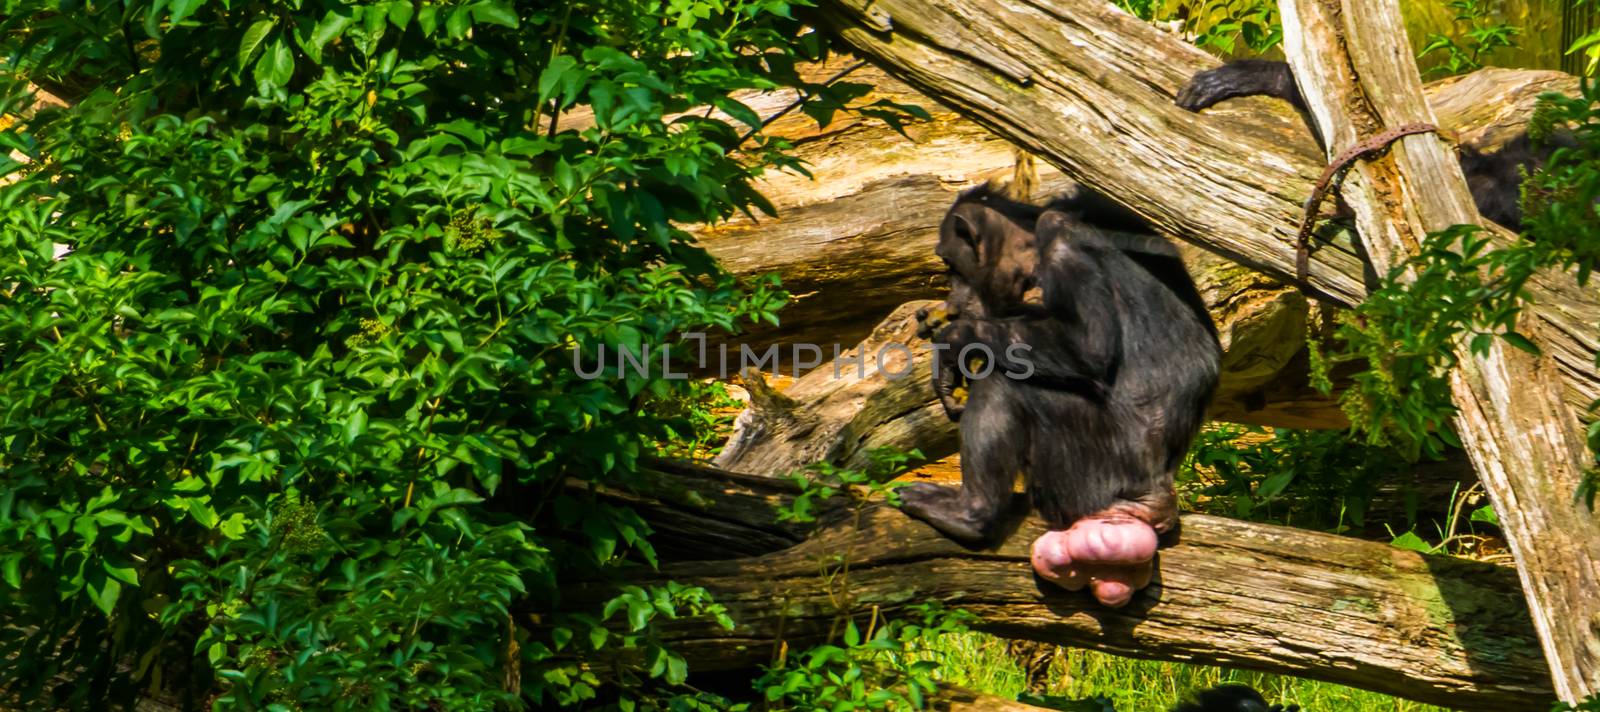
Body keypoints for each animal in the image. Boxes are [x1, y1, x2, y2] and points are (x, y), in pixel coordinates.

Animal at [902, 183, 1222, 604]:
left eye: (951, 266)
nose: (954, 295)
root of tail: (1158, 500)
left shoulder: (1060, 236)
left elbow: (1087, 344)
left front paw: (956, 341)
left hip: (1086, 475)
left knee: (1007, 382)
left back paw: (969, 513)